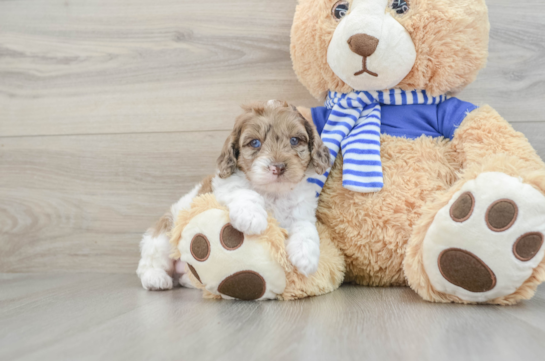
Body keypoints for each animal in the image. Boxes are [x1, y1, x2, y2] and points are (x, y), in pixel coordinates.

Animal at [137, 100, 332, 290]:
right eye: (255, 143)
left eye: (294, 140)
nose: (278, 167)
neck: (273, 192)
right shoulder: (222, 187)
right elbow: (242, 191)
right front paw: (252, 217)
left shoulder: (301, 210)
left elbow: (305, 227)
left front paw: (306, 255)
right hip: (163, 237)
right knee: (150, 262)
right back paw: (155, 279)